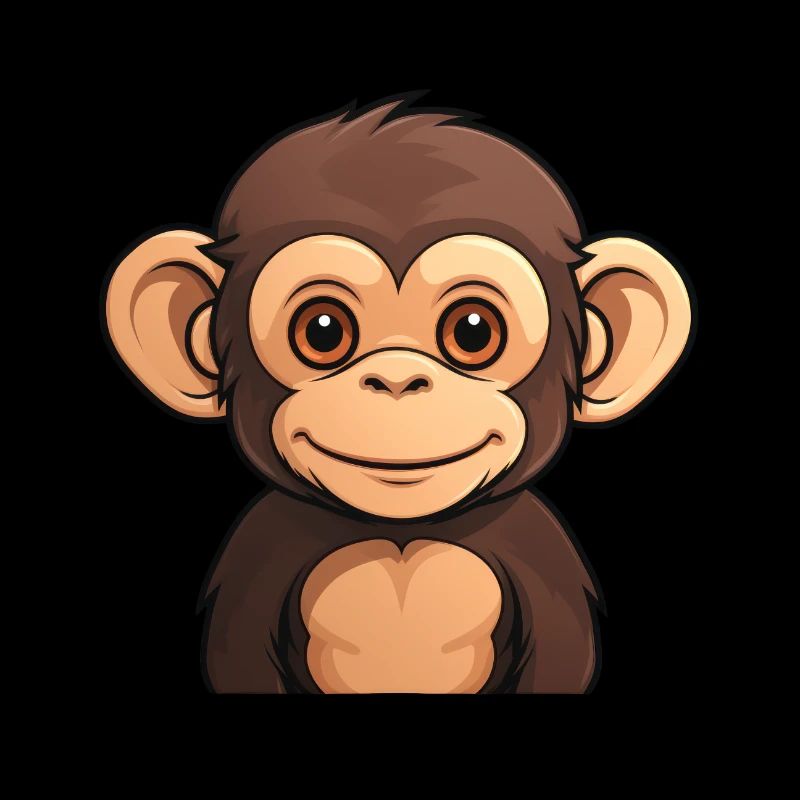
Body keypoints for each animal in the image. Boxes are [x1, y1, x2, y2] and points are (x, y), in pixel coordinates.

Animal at [103, 98, 693, 694]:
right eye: (322, 331)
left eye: (474, 331)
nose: (396, 380)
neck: (401, 535)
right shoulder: (257, 553)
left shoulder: (542, 552)